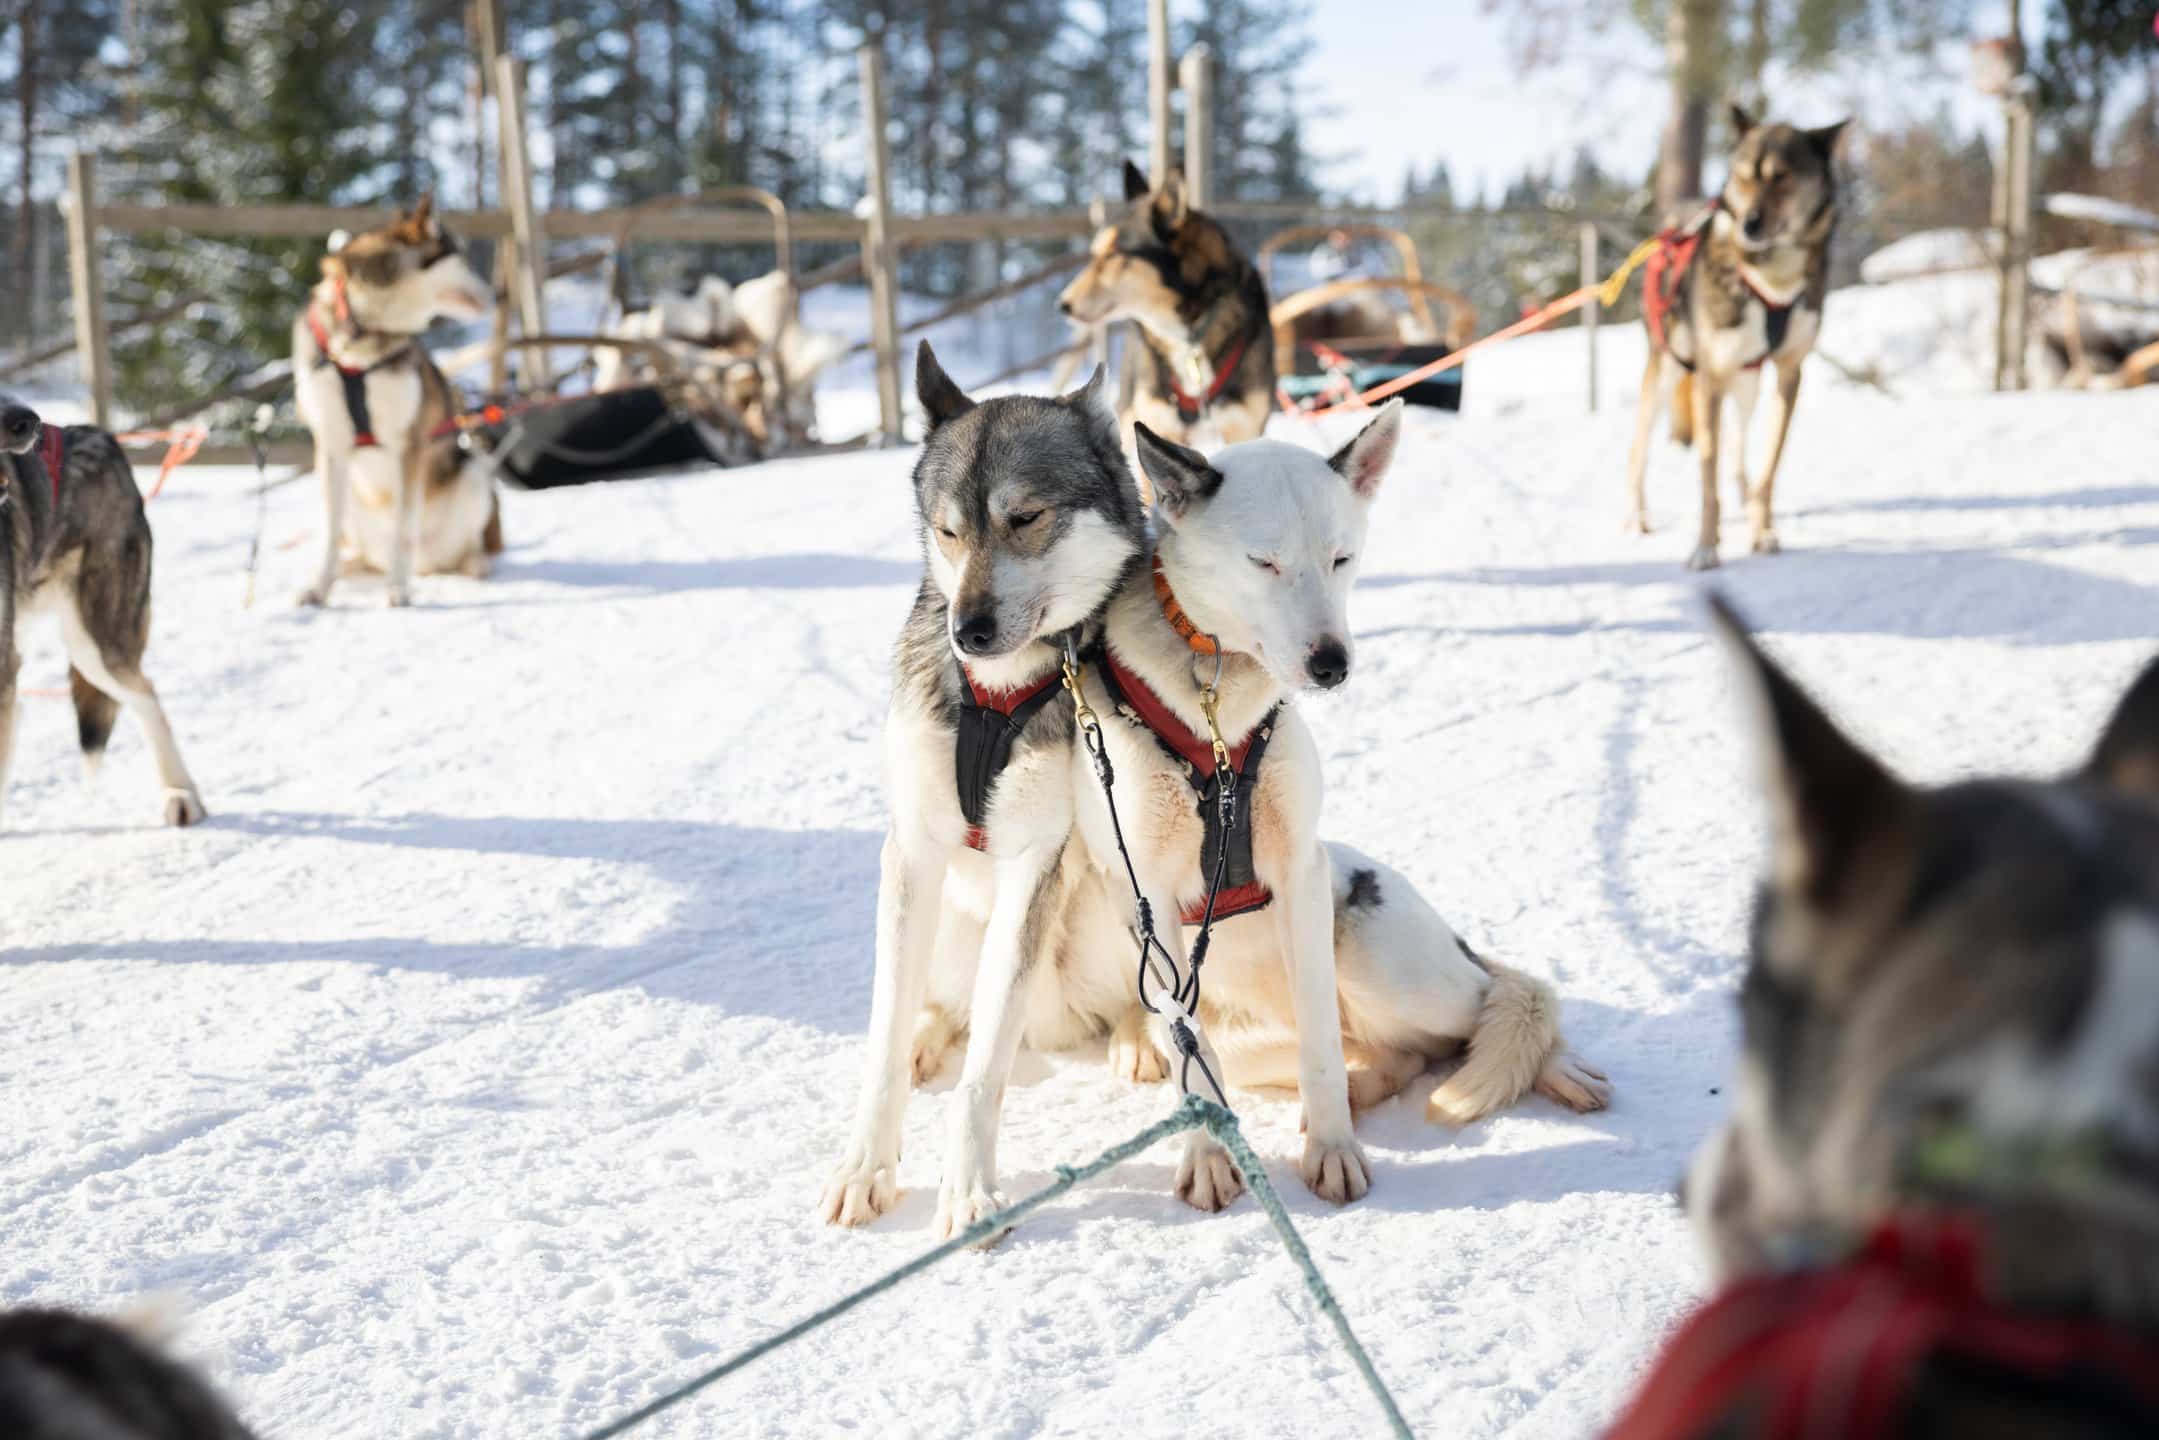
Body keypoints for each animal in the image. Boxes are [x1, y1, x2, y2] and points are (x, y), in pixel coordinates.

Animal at [293, 196, 502, 608]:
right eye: (462, 257)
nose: (497, 293)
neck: (363, 338)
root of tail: (429, 562)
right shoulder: (331, 446)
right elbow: (330, 530)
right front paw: (320, 586)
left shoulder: (410, 445)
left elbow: (404, 528)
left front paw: (399, 589)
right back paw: (353, 567)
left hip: (473, 470)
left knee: (460, 546)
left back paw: (472, 564)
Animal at [820, 341, 1148, 1241]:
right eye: (948, 530)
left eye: (1025, 518)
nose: (966, 629)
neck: (996, 699)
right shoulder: (915, 851)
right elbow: (883, 1036)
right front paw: (867, 1164)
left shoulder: (1035, 863)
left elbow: (984, 1073)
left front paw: (969, 1190)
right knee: (939, 1005)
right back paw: (930, 1034)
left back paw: (1140, 1036)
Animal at [1050, 410, 1608, 1211]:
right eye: (1263, 562)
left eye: (1341, 558)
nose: (1331, 664)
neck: (1214, 711)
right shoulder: (1146, 900)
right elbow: (1190, 1053)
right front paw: (1209, 1154)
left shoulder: (1300, 876)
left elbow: (1318, 1038)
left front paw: (1332, 1147)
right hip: (1254, 1036)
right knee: (1384, 1055)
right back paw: (1365, 1081)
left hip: (1383, 962)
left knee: (1493, 1000)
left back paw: (1546, 1064)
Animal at [1057, 162, 1275, 458]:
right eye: (1094, 254)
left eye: (1115, 253)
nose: (1062, 304)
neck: (1189, 335)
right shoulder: (1159, 426)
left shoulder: (1244, 429)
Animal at [1624, 108, 1846, 570]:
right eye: (1743, 178)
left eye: (1782, 177)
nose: (1750, 223)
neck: (1771, 277)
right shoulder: (1710, 377)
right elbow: (1707, 481)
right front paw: (1706, 546)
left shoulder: (1789, 372)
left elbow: (1767, 469)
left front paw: (1762, 529)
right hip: (1667, 369)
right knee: (1640, 450)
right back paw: (1637, 517)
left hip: (1746, 382)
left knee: (1738, 444)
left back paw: (1744, 497)